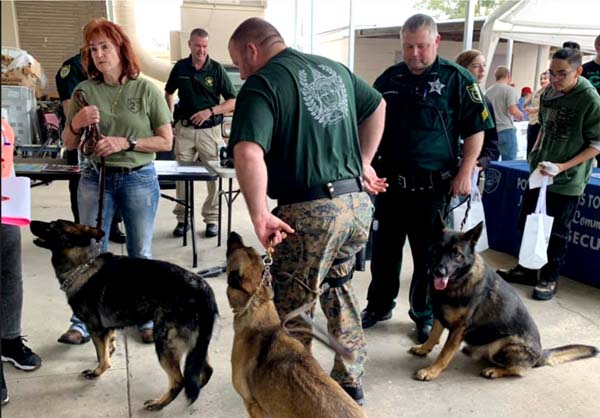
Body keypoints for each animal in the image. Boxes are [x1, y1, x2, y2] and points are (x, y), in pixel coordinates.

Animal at [30, 219, 218, 410]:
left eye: (52, 226)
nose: (31, 222)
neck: (82, 265)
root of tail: (203, 288)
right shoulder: (108, 328)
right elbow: (108, 345)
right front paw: (110, 350)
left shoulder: (96, 329)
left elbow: (101, 356)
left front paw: (98, 371)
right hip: (196, 344)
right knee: (205, 370)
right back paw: (195, 388)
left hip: (165, 343)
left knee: (179, 380)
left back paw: (159, 403)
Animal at [409, 217, 598, 381]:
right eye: (437, 249)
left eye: (457, 254)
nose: (438, 272)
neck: (461, 279)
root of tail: (539, 354)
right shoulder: (439, 315)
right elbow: (433, 335)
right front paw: (424, 348)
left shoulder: (458, 329)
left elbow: (445, 353)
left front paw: (432, 371)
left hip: (502, 345)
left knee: (519, 371)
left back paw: (495, 370)